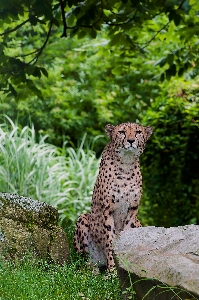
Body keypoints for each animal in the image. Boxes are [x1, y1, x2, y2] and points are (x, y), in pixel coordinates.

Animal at [74, 122, 153, 270]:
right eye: (122, 132)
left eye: (138, 132)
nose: (131, 141)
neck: (126, 165)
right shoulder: (108, 210)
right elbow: (110, 241)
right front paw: (113, 270)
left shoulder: (132, 210)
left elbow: (126, 236)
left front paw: (124, 263)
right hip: (83, 219)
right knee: (86, 262)